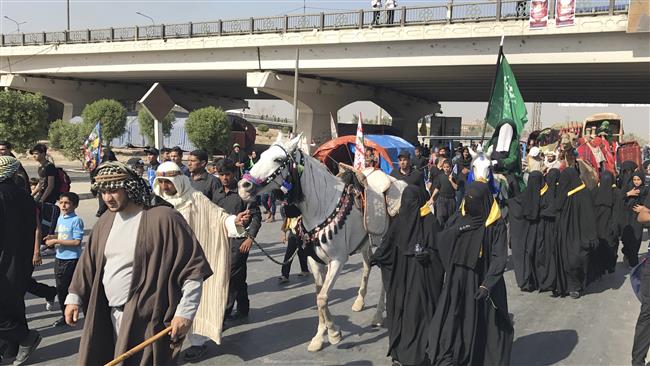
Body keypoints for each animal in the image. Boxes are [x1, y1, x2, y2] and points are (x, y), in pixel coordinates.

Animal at [237, 134, 380, 352]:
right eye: (260, 156)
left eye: (278, 160)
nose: (243, 187)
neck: (321, 207)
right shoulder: (315, 261)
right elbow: (319, 296)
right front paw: (320, 337)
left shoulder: (337, 261)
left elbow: (322, 298)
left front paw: (334, 334)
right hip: (364, 245)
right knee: (366, 268)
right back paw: (359, 301)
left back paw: (378, 314)